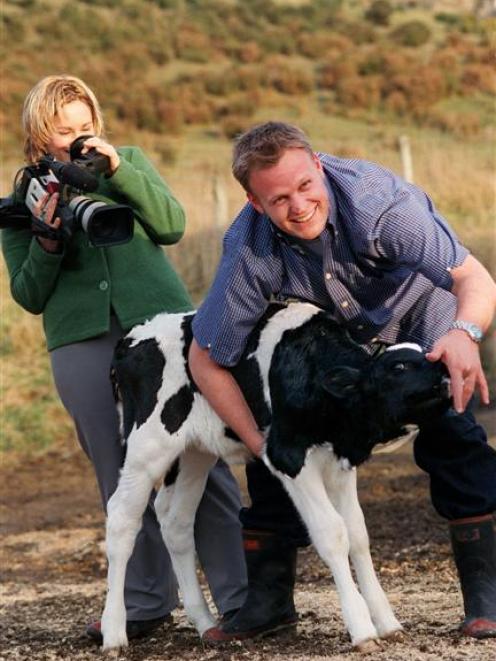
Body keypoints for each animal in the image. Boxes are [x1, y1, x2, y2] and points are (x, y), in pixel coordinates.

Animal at [101, 300, 450, 648]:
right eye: (399, 367)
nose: (445, 371)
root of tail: (131, 337)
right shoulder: (288, 457)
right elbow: (333, 534)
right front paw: (362, 627)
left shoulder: (340, 463)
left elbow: (358, 535)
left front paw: (387, 621)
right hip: (147, 446)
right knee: (121, 518)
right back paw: (114, 632)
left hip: (195, 452)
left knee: (175, 521)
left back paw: (204, 623)